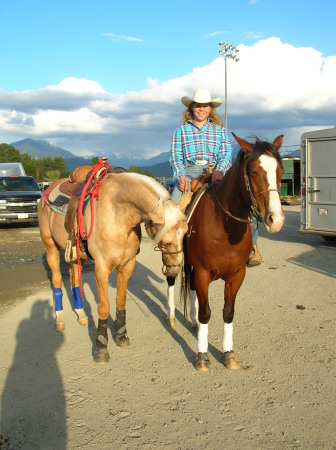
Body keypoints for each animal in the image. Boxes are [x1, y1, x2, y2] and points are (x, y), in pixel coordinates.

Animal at [38, 171, 190, 364]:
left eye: (185, 234)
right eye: (166, 240)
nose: (174, 270)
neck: (118, 214)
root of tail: (47, 191)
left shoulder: (127, 265)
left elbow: (120, 300)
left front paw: (121, 334)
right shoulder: (101, 268)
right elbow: (104, 306)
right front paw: (101, 347)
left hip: (75, 255)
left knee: (74, 278)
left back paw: (81, 315)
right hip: (50, 246)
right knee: (57, 279)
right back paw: (59, 319)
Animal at [167, 132, 284, 370]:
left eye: (280, 171)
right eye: (253, 171)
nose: (275, 220)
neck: (223, 226)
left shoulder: (236, 274)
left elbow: (228, 312)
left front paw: (229, 353)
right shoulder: (203, 272)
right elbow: (206, 313)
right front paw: (202, 356)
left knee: (191, 289)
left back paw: (192, 321)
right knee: (172, 279)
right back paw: (172, 316)